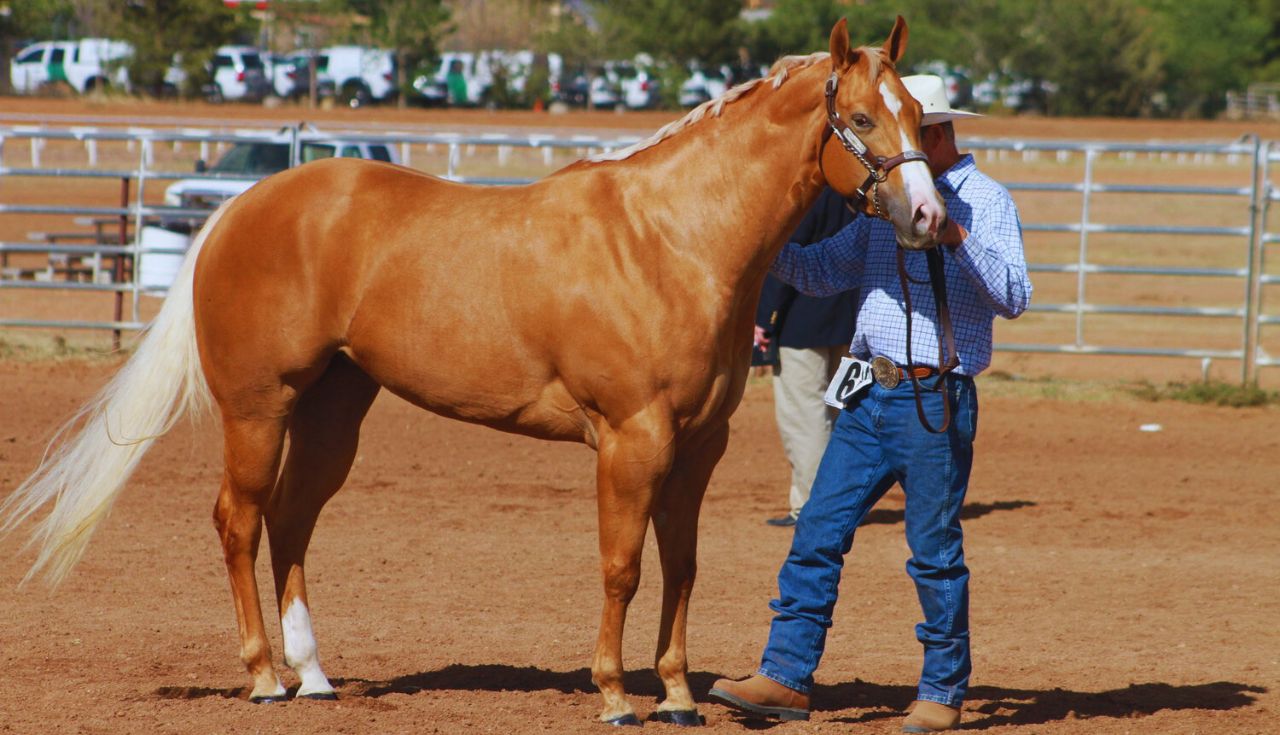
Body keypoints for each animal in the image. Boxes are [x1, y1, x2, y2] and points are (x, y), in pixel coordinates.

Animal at [0, 18, 942, 732]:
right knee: (239, 520)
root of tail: (241, 207)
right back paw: (265, 675)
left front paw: (677, 694)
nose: (929, 217)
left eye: (917, 113)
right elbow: (623, 566)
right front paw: (614, 693)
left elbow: (682, 566)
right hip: (257, 408)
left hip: (334, 410)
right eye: (862, 117)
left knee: (291, 521)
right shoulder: (631, 440)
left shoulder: (696, 447)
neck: (670, 239)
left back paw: (314, 675)